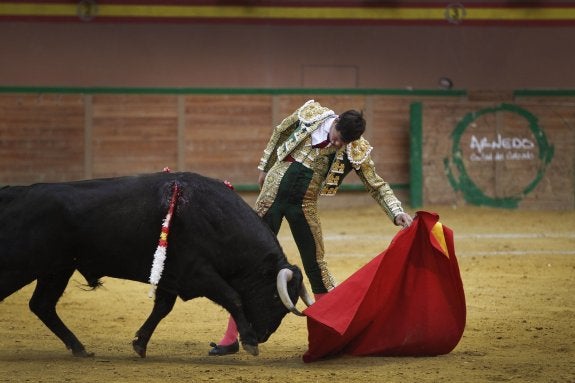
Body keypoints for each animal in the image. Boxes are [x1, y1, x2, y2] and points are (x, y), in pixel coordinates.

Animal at [0, 172, 310, 358]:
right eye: (275, 297)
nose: (263, 335)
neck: (216, 219)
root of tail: (16, 193)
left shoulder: (172, 277)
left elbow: (162, 308)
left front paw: (139, 343)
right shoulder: (197, 272)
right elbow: (233, 297)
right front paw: (249, 342)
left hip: (56, 270)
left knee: (42, 305)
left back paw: (79, 349)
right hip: (21, 264)